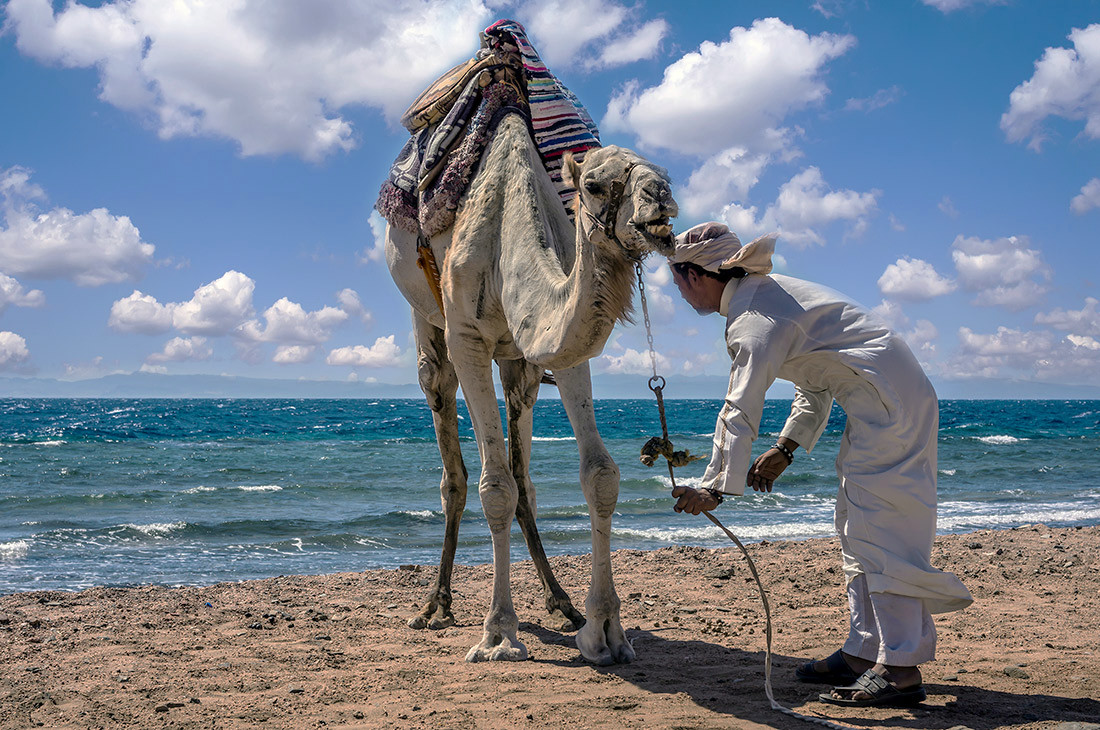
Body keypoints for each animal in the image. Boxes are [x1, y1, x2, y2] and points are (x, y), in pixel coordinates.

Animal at [387, 111, 677, 664]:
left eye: (664, 171)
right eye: (593, 184)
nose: (661, 197)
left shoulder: (562, 347)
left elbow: (599, 475)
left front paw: (606, 631)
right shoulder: (467, 337)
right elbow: (494, 487)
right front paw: (499, 634)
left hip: (517, 361)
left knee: (525, 475)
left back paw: (561, 603)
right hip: (426, 317)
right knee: (449, 443)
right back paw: (435, 607)